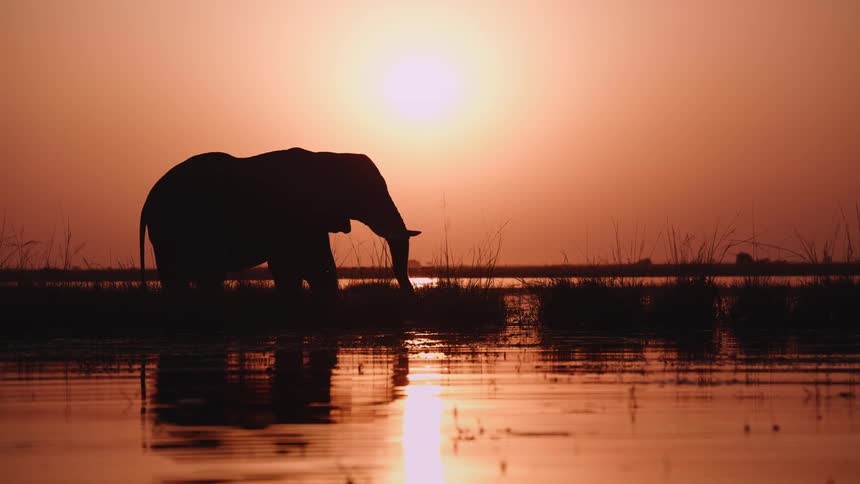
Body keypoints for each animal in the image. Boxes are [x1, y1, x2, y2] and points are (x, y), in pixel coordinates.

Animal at [139, 147, 420, 299]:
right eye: (368, 193)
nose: (410, 295)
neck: (329, 156)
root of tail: (149, 198)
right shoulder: (293, 214)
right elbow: (302, 265)